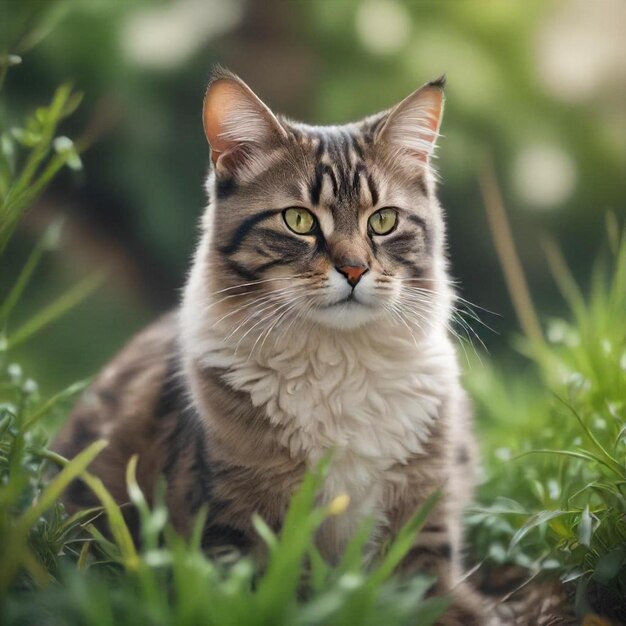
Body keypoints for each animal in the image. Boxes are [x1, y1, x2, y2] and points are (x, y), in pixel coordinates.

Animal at [53, 66, 482, 620]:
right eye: (298, 221)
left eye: (383, 221)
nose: (354, 270)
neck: (337, 362)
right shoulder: (235, 525)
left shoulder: (423, 522)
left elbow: (435, 599)